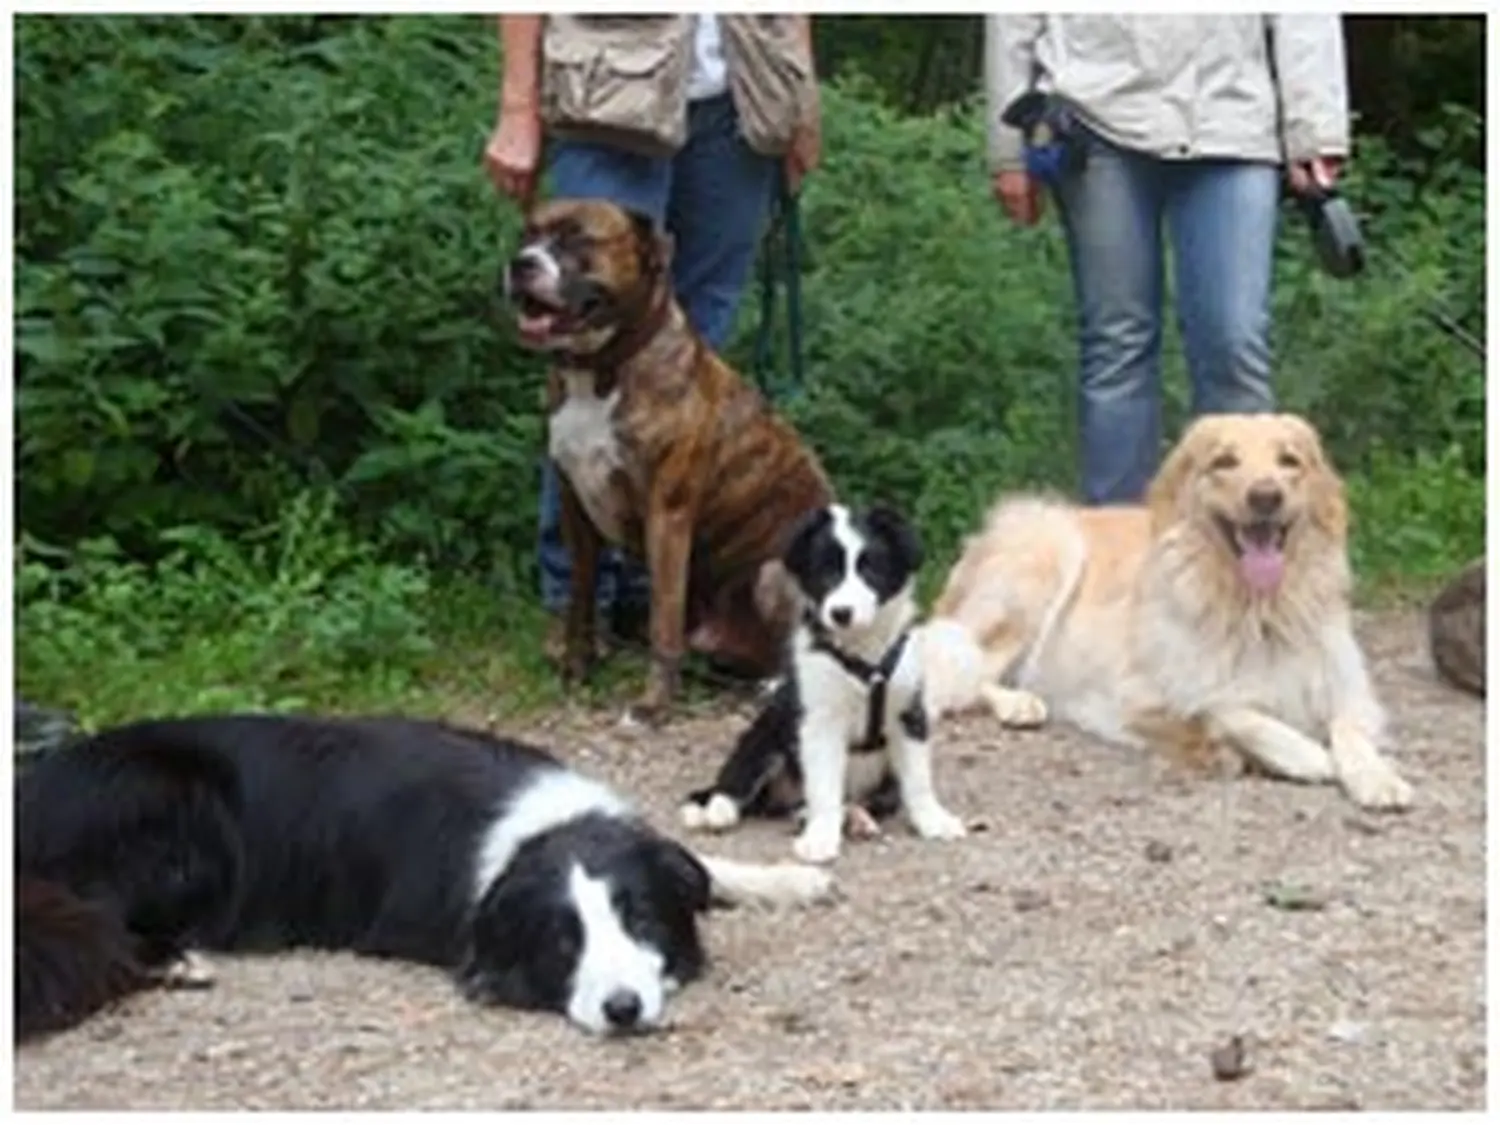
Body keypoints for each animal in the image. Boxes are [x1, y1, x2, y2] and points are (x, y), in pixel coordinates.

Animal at [14, 717, 834, 1044]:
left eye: (640, 920)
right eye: (562, 944)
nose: (623, 1009)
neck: (537, 832)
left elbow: (700, 863)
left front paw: (786, 879)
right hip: (180, 812)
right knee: (97, 919)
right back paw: (176, 960)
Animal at [504, 199, 834, 723]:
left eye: (580, 239)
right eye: (528, 235)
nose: (522, 264)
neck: (601, 370)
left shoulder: (667, 515)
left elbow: (664, 616)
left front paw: (652, 705)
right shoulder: (577, 509)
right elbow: (581, 601)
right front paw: (576, 669)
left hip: (774, 573)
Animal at [678, 507, 966, 870]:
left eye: (871, 568)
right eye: (825, 571)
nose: (841, 613)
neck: (863, 654)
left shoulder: (909, 713)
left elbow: (918, 780)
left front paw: (934, 820)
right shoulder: (819, 721)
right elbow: (825, 787)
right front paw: (820, 839)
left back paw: (852, 817)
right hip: (767, 733)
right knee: (735, 780)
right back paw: (717, 811)